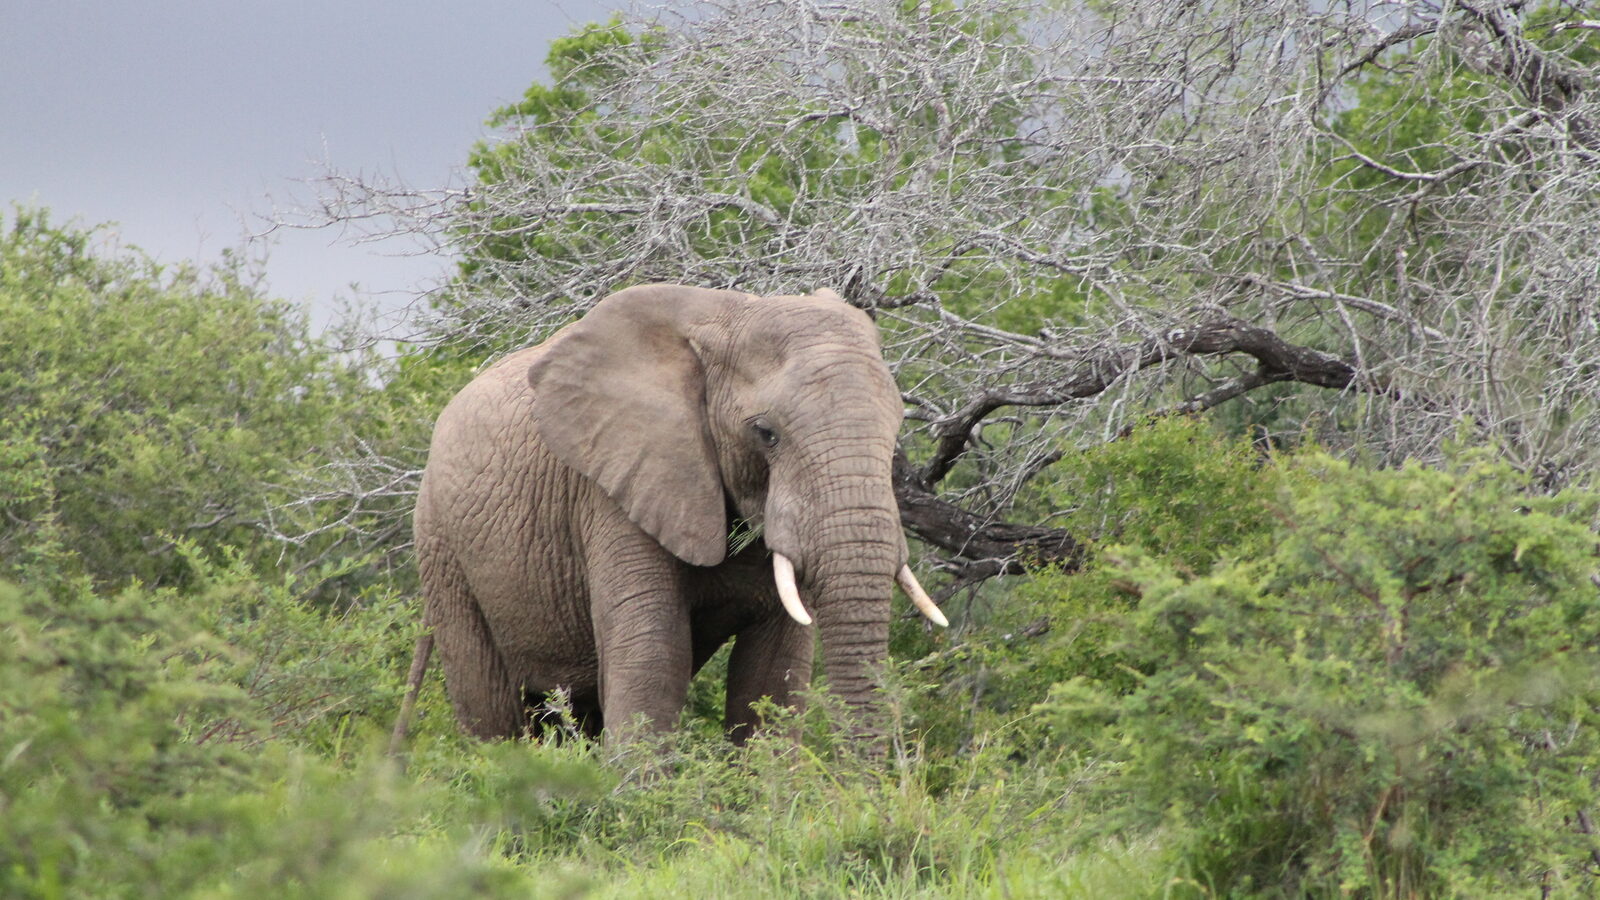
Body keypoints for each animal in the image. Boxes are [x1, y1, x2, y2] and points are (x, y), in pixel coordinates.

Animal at [393, 284, 945, 750]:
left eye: (897, 428)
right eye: (766, 433)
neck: (727, 319)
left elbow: (774, 673)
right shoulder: (614, 488)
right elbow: (652, 658)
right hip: (443, 550)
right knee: (493, 712)